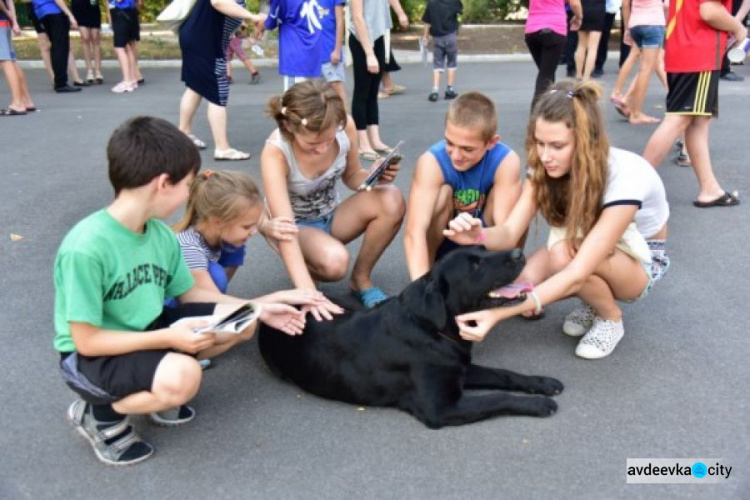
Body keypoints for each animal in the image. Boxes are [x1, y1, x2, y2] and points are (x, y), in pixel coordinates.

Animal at [260, 248, 564, 428]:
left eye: (484, 249)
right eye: (475, 265)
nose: (519, 252)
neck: (430, 327)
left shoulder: (461, 368)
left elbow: (503, 374)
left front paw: (542, 383)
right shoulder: (441, 407)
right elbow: (496, 397)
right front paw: (538, 404)